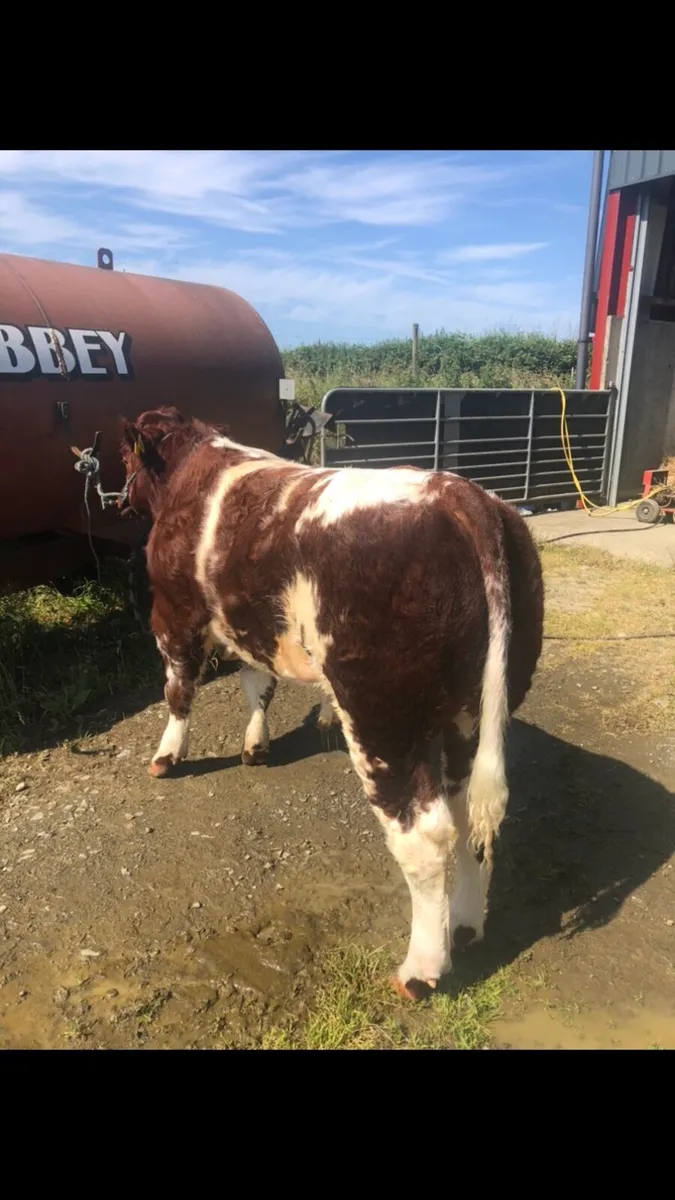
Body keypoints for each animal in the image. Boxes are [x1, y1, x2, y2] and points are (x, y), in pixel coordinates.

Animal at [119, 406, 543, 999]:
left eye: (123, 456)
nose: (118, 500)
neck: (194, 472)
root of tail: (461, 495)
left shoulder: (174, 614)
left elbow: (179, 688)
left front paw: (167, 756)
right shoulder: (252, 625)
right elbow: (257, 683)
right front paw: (256, 745)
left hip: (382, 719)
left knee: (426, 836)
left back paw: (420, 972)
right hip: (473, 713)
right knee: (469, 818)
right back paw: (463, 924)